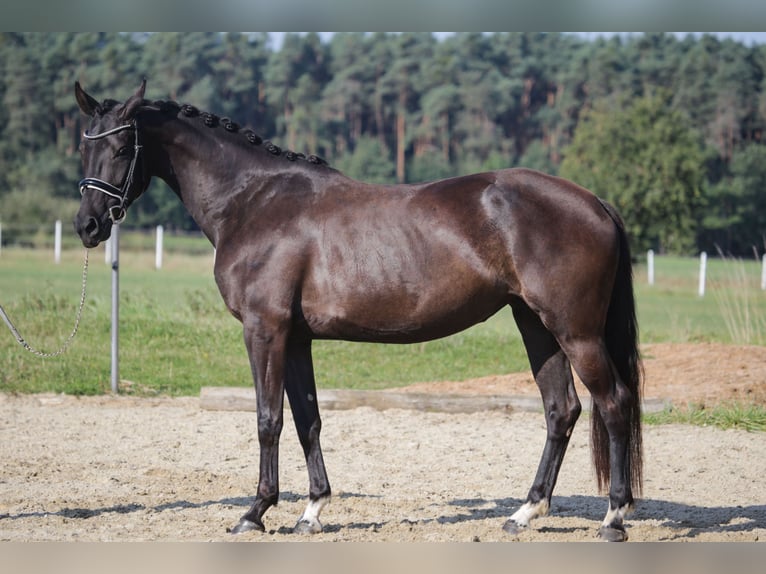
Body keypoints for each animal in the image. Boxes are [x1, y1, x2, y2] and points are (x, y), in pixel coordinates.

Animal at [75, 81, 644, 544]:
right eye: (85, 144)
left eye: (122, 147)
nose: (87, 225)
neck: (254, 201)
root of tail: (594, 202)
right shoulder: (296, 339)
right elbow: (307, 419)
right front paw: (311, 511)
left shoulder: (265, 331)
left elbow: (267, 419)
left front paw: (255, 512)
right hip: (536, 325)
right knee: (561, 409)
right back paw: (525, 512)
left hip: (576, 332)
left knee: (613, 403)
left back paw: (613, 519)